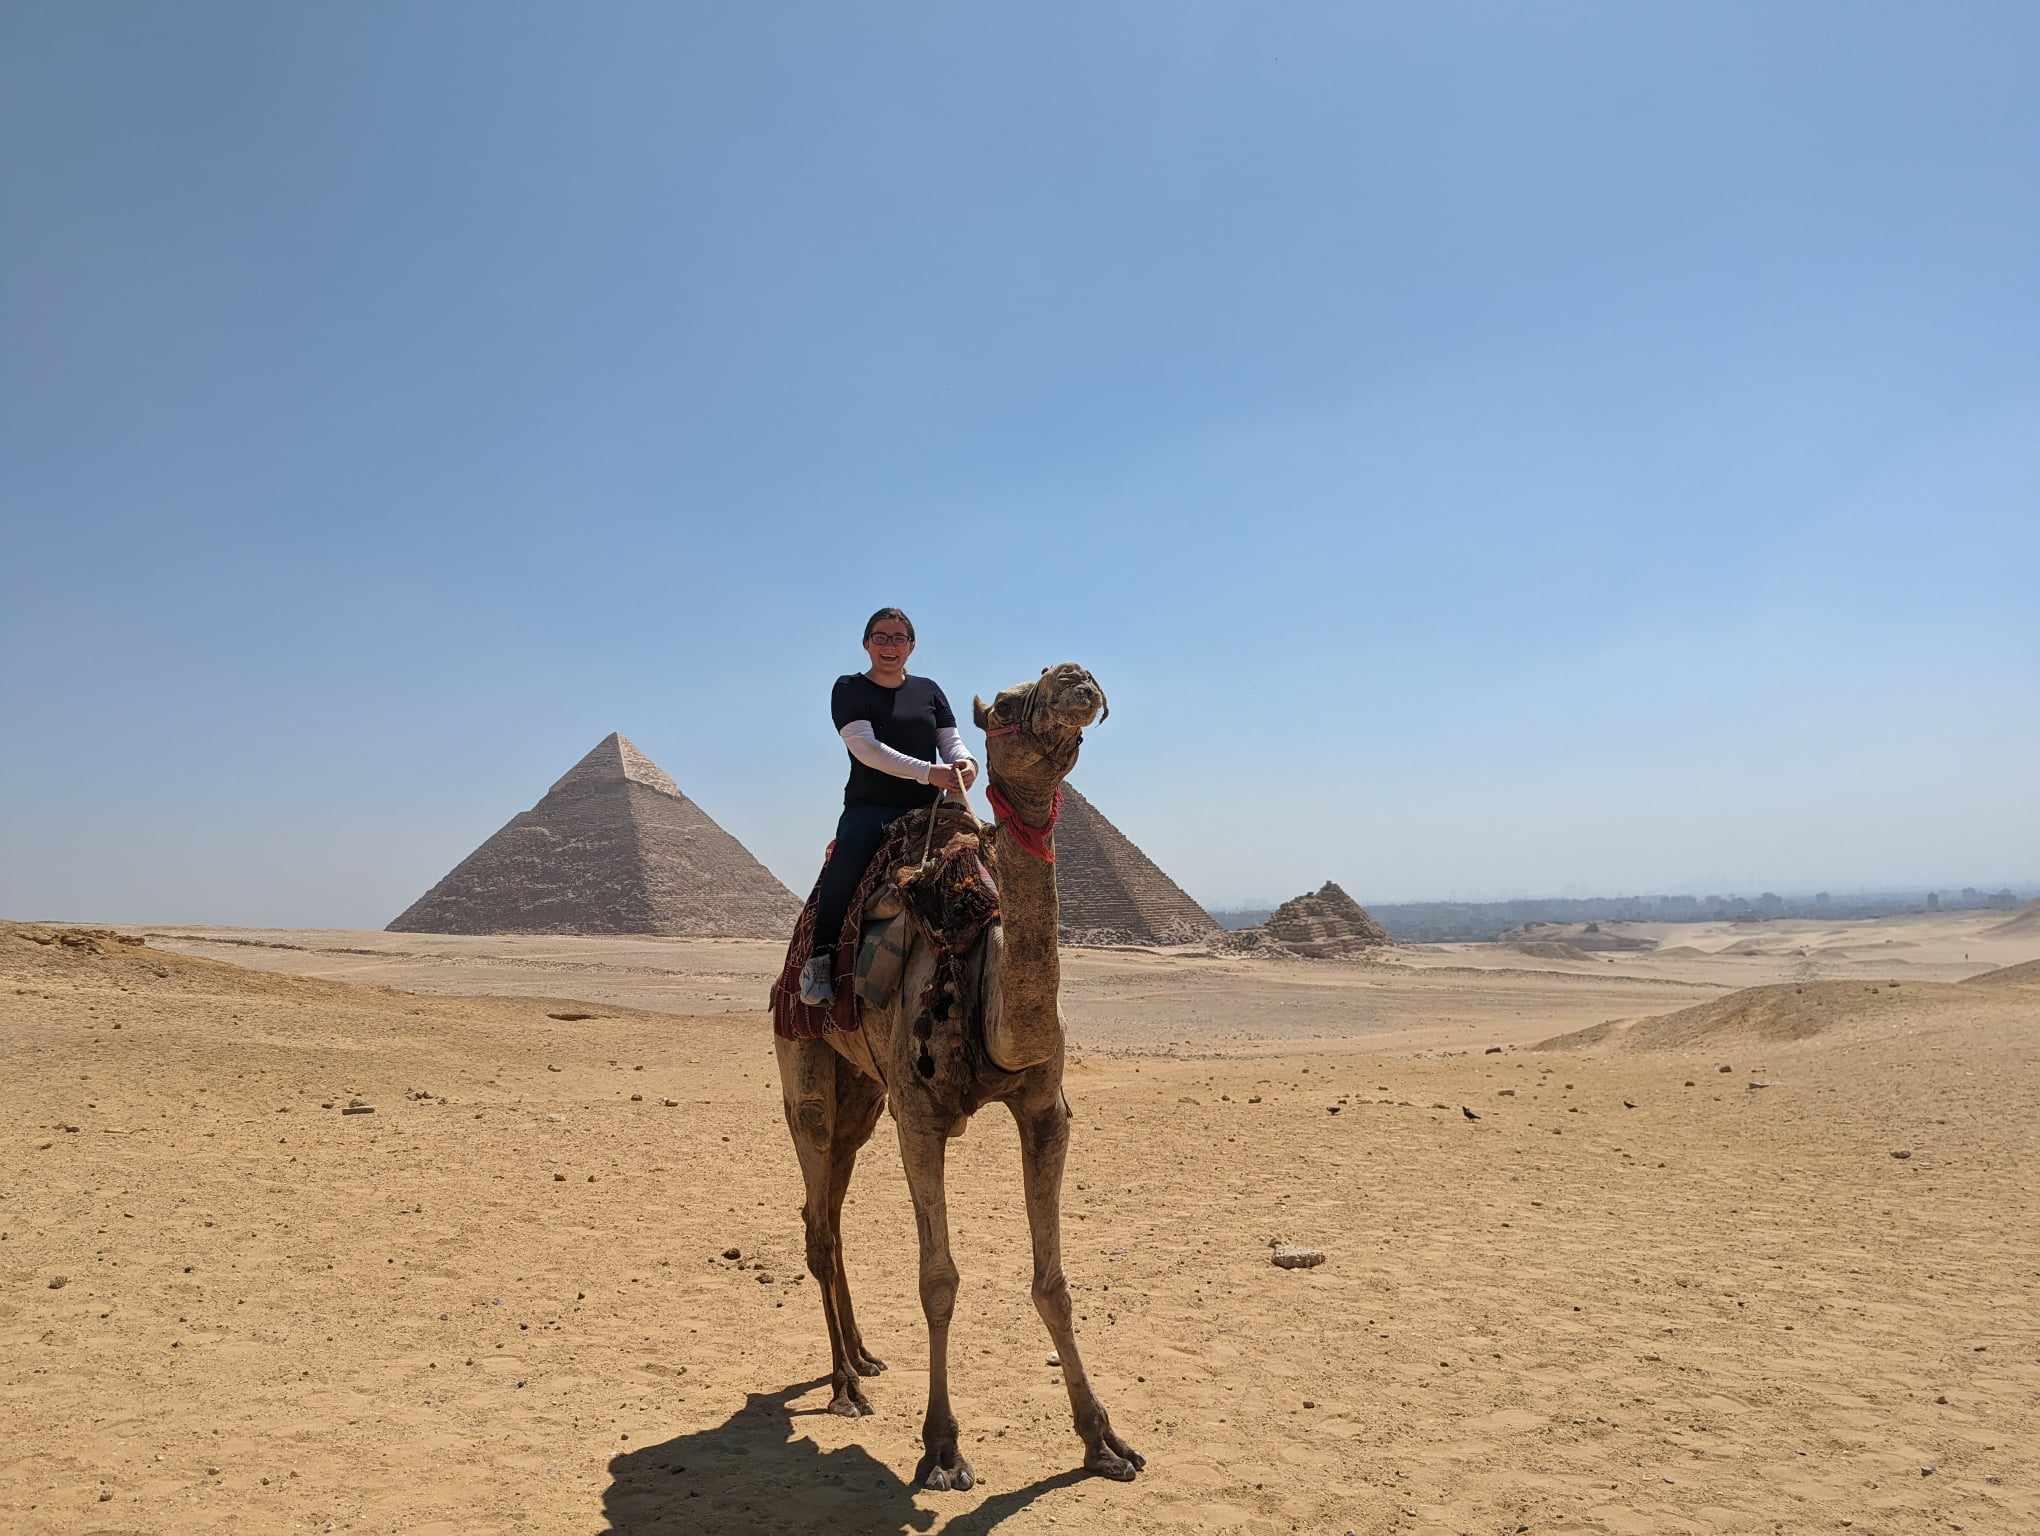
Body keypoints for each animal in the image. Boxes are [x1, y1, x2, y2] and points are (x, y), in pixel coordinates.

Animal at [772, 662, 1144, 1491]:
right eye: (1004, 704)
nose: (1077, 678)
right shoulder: (920, 1118)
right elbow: (938, 1280)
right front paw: (941, 1449)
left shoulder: (1045, 1108)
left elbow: (1053, 1283)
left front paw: (1104, 1440)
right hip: (804, 1069)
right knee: (816, 1218)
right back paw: (842, 1386)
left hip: (863, 1095)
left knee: (832, 1208)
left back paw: (864, 1357)